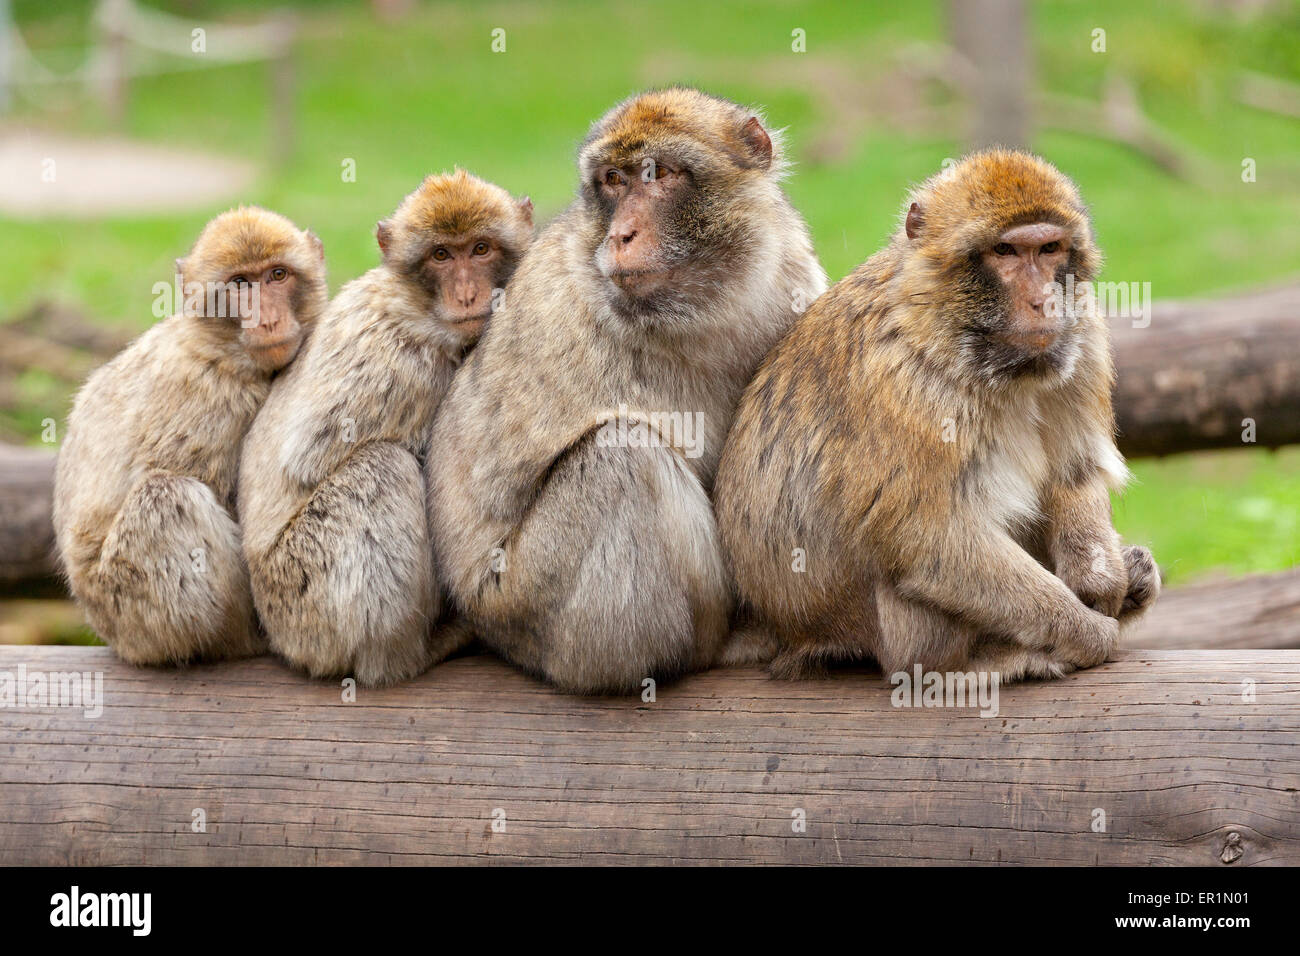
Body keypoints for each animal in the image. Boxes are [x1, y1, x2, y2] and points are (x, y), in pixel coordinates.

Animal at [54, 206, 330, 665]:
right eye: (240, 284)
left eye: (277, 275)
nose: (268, 319)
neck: (223, 350)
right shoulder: (211, 401)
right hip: (132, 609)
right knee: (166, 495)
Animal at [239, 167, 533, 686]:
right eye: (441, 255)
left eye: (480, 249)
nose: (467, 294)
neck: (424, 313)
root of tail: (280, 639)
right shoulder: (397, 362)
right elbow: (312, 456)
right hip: (304, 599)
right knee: (382, 465)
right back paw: (401, 655)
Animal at [717, 149, 1164, 681]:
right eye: (1006, 252)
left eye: (1050, 249)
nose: (1044, 301)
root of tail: (784, 627)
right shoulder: (905, 383)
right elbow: (931, 541)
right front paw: (1086, 630)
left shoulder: (1084, 338)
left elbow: (1075, 470)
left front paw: (1103, 579)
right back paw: (997, 659)